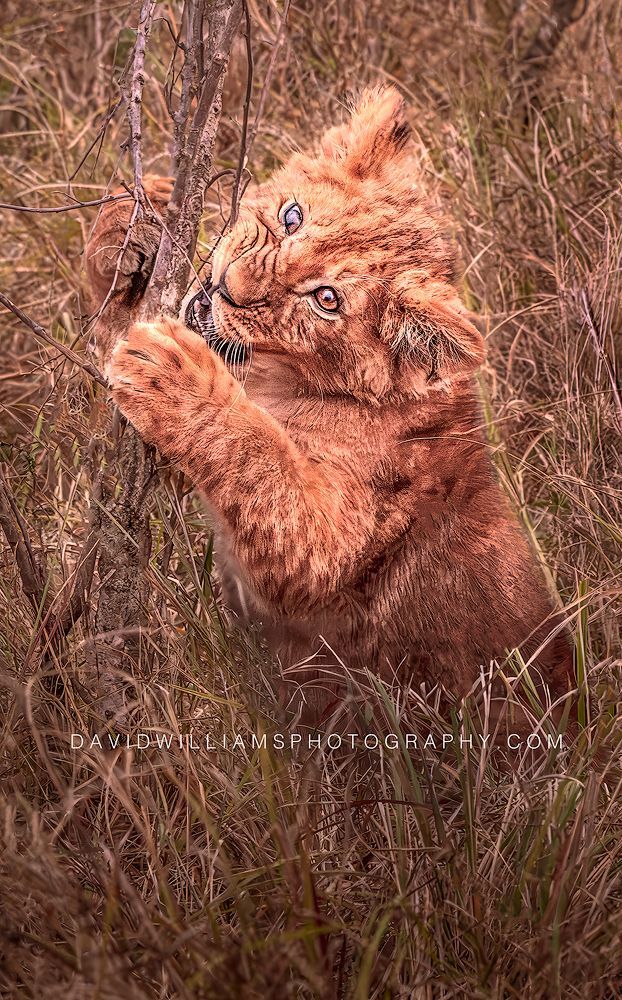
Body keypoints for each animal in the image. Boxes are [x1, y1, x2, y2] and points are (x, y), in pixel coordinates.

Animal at [85, 86, 574, 726]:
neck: (274, 379)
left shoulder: (327, 550)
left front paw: (173, 372)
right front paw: (135, 222)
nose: (231, 286)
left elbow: (258, 460)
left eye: (326, 299)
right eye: (292, 216)